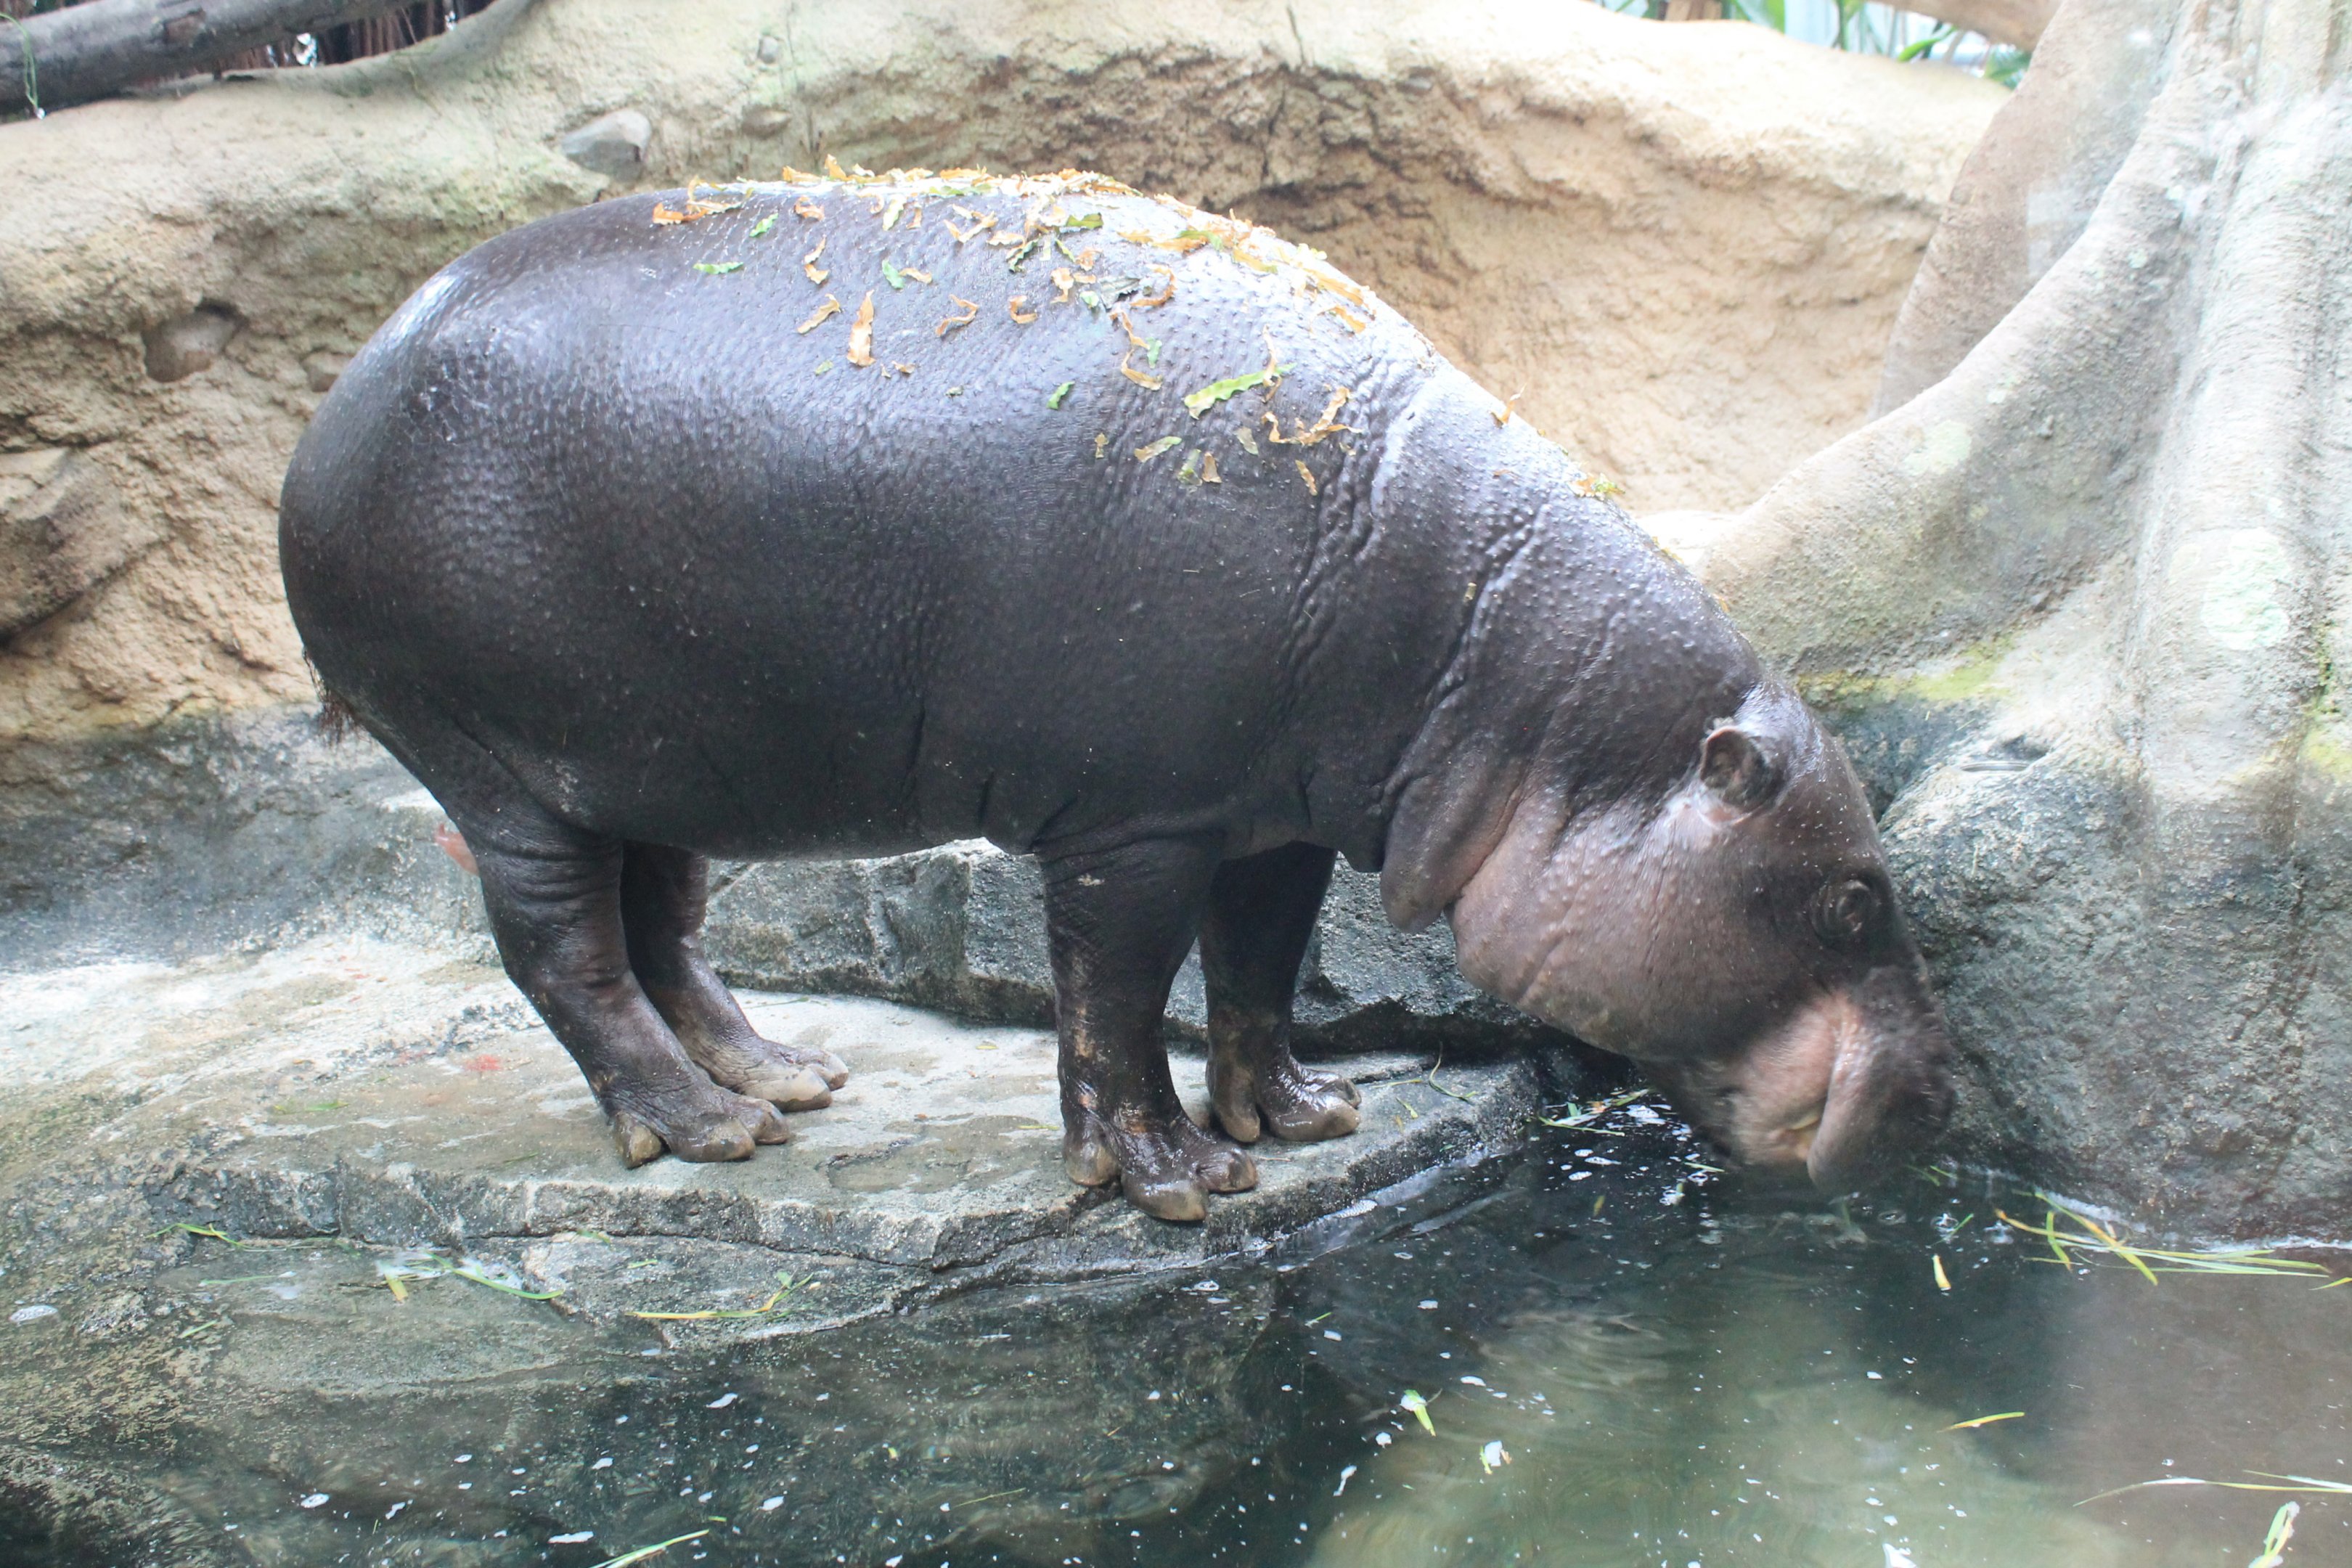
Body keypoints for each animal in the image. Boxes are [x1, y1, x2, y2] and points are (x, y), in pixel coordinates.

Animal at [279, 167, 1952, 1221]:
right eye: (1855, 898)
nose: (1940, 1101)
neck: (1518, 669)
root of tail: (339, 393)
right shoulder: (1131, 824)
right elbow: (1118, 1003)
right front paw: (1177, 1186)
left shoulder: (1273, 813)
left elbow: (1260, 970)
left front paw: (1302, 1120)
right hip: (504, 772)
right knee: (565, 956)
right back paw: (708, 1134)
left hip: (661, 754)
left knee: (664, 927)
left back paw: (789, 1080)